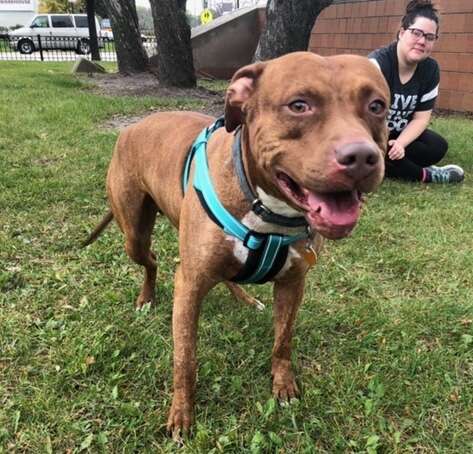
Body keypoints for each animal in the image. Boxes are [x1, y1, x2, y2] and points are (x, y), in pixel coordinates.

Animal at [85, 52, 388, 436]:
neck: (267, 209)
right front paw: (182, 413)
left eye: (377, 105)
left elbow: (283, 340)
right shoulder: (189, 285)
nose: (361, 157)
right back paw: (146, 298)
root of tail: (131, 127)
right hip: (133, 233)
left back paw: (244, 297)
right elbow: (185, 358)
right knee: (151, 259)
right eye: (299, 105)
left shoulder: (293, 284)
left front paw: (283, 384)